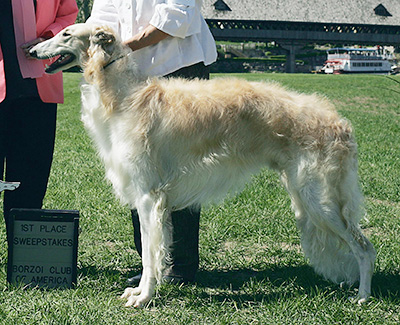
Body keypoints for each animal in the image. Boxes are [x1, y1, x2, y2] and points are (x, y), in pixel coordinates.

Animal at [30, 22, 376, 306]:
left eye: (66, 34)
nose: (31, 50)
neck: (125, 96)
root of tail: (340, 123)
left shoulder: (148, 197)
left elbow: (150, 256)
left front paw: (144, 297)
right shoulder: (152, 200)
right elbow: (153, 254)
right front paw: (141, 291)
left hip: (319, 200)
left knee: (365, 247)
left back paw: (362, 296)